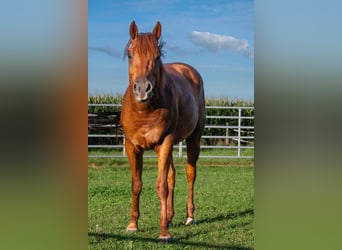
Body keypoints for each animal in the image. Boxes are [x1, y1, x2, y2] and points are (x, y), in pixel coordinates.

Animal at [120, 21, 206, 242]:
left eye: (157, 56)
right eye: (130, 54)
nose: (143, 89)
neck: (144, 112)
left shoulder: (165, 142)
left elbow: (161, 187)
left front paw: (164, 233)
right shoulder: (132, 147)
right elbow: (137, 184)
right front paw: (132, 225)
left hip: (193, 140)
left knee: (190, 174)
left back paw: (189, 217)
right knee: (172, 175)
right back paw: (169, 217)